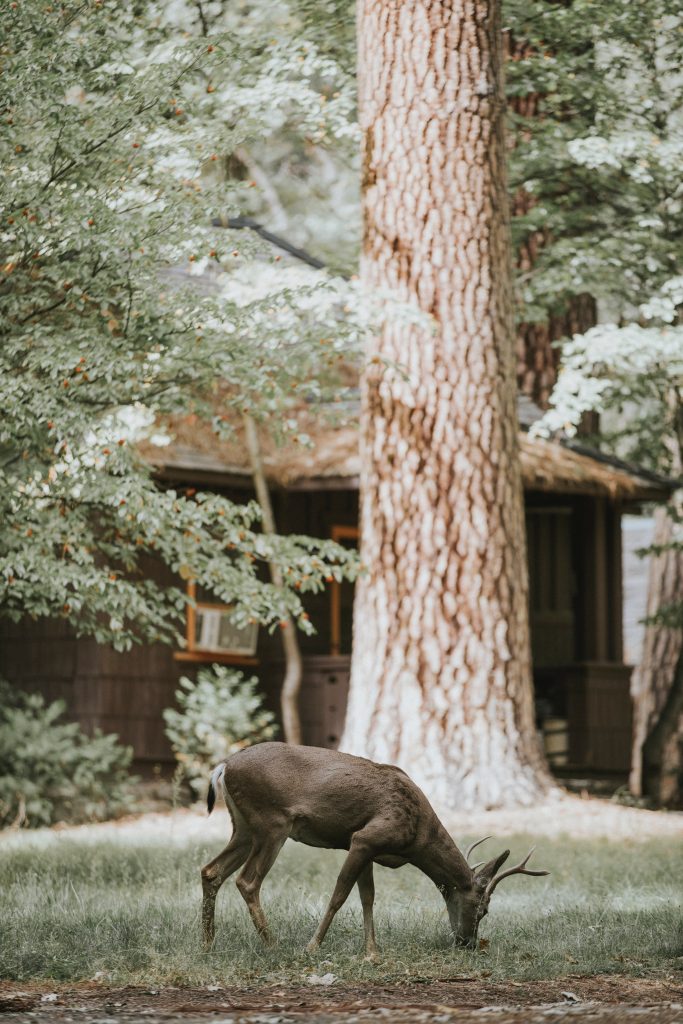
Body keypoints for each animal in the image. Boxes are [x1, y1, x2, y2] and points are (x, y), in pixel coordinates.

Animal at [201, 742, 549, 956]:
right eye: (483, 909)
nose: (468, 943)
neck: (418, 839)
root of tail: (224, 766)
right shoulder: (366, 838)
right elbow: (340, 895)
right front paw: (313, 946)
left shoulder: (365, 847)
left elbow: (367, 897)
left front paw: (372, 952)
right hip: (271, 822)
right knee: (247, 881)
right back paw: (273, 945)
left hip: (243, 827)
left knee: (211, 870)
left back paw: (208, 943)